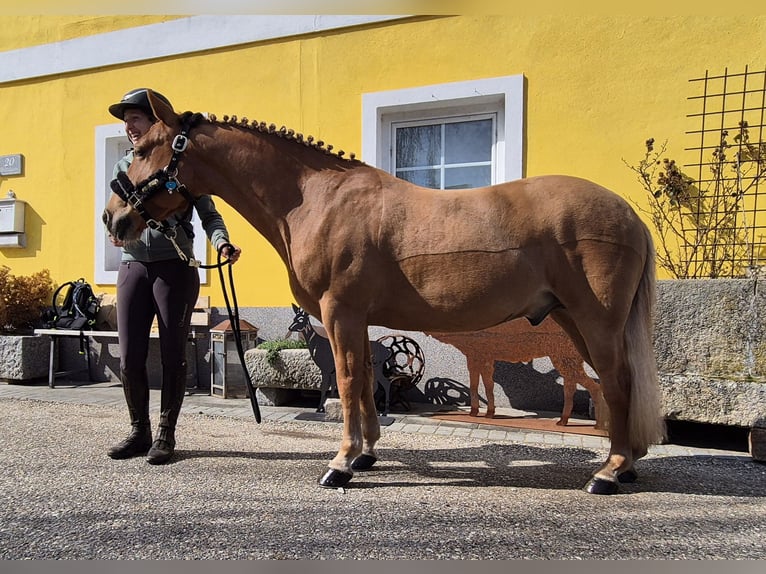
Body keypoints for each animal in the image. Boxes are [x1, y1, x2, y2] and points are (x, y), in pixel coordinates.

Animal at [103, 91, 666, 495]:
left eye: (142, 149)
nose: (114, 218)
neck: (314, 199)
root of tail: (629, 215)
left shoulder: (341, 313)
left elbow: (349, 381)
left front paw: (341, 464)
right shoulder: (356, 318)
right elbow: (365, 381)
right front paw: (367, 453)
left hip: (596, 322)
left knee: (617, 383)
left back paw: (609, 472)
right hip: (572, 319)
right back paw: (624, 465)